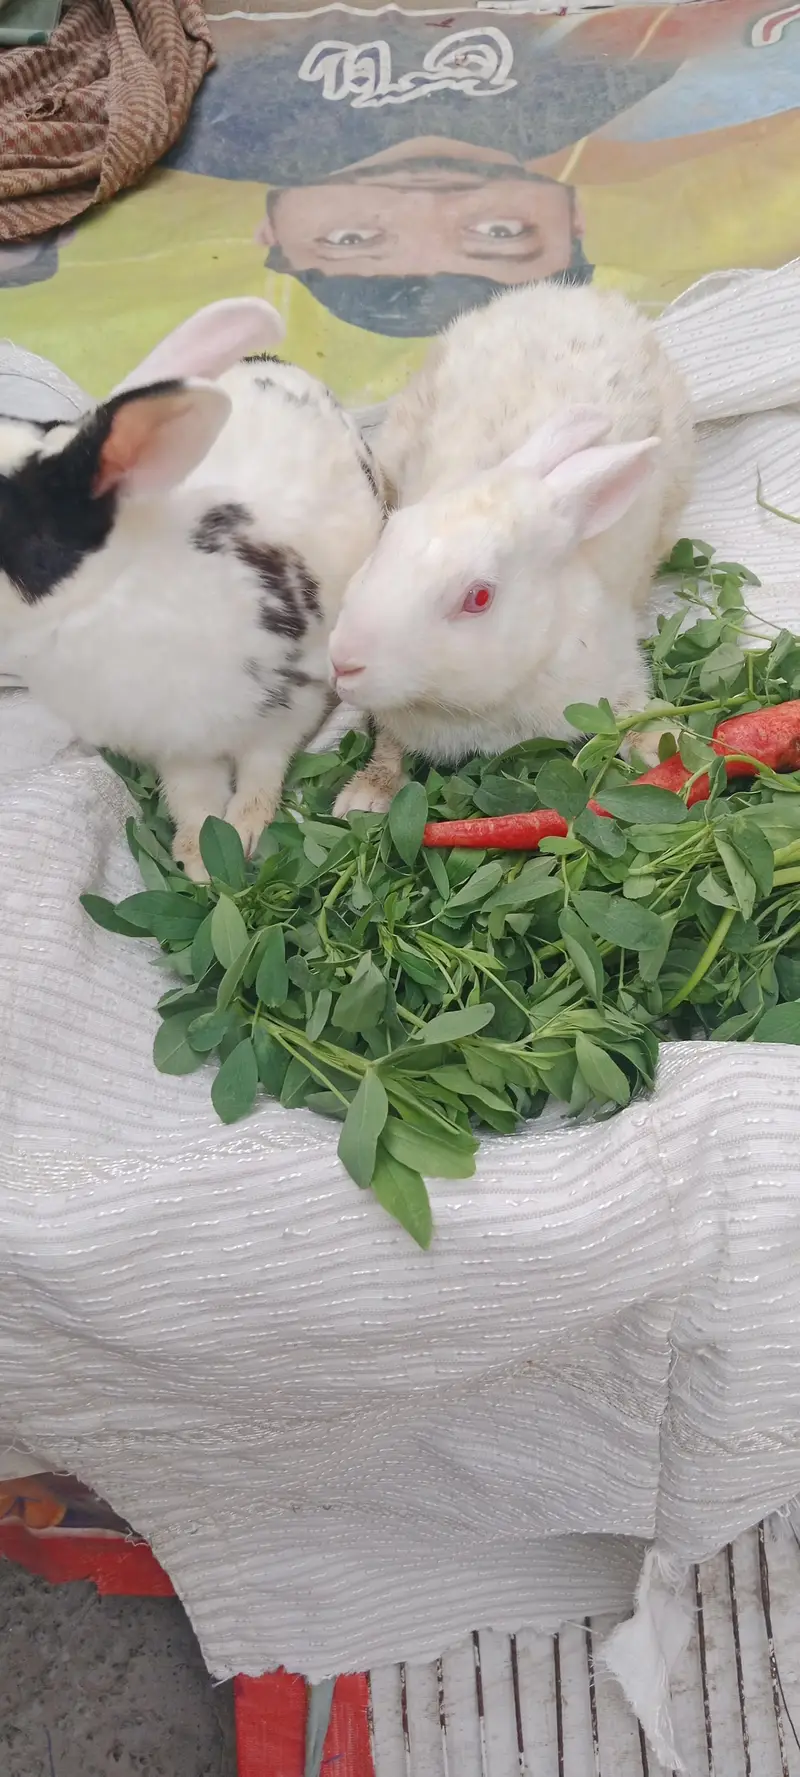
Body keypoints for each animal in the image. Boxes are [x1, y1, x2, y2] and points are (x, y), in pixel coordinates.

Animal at [0, 298, 386, 878]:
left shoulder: (291, 698)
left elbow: (262, 768)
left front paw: (245, 830)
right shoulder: (176, 745)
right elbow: (191, 795)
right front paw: (200, 859)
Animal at [327, 283, 693, 816]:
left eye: (478, 597)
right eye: (387, 539)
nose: (342, 662)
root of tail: (571, 294)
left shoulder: (612, 678)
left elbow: (632, 712)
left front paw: (665, 746)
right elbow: (389, 749)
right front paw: (363, 799)